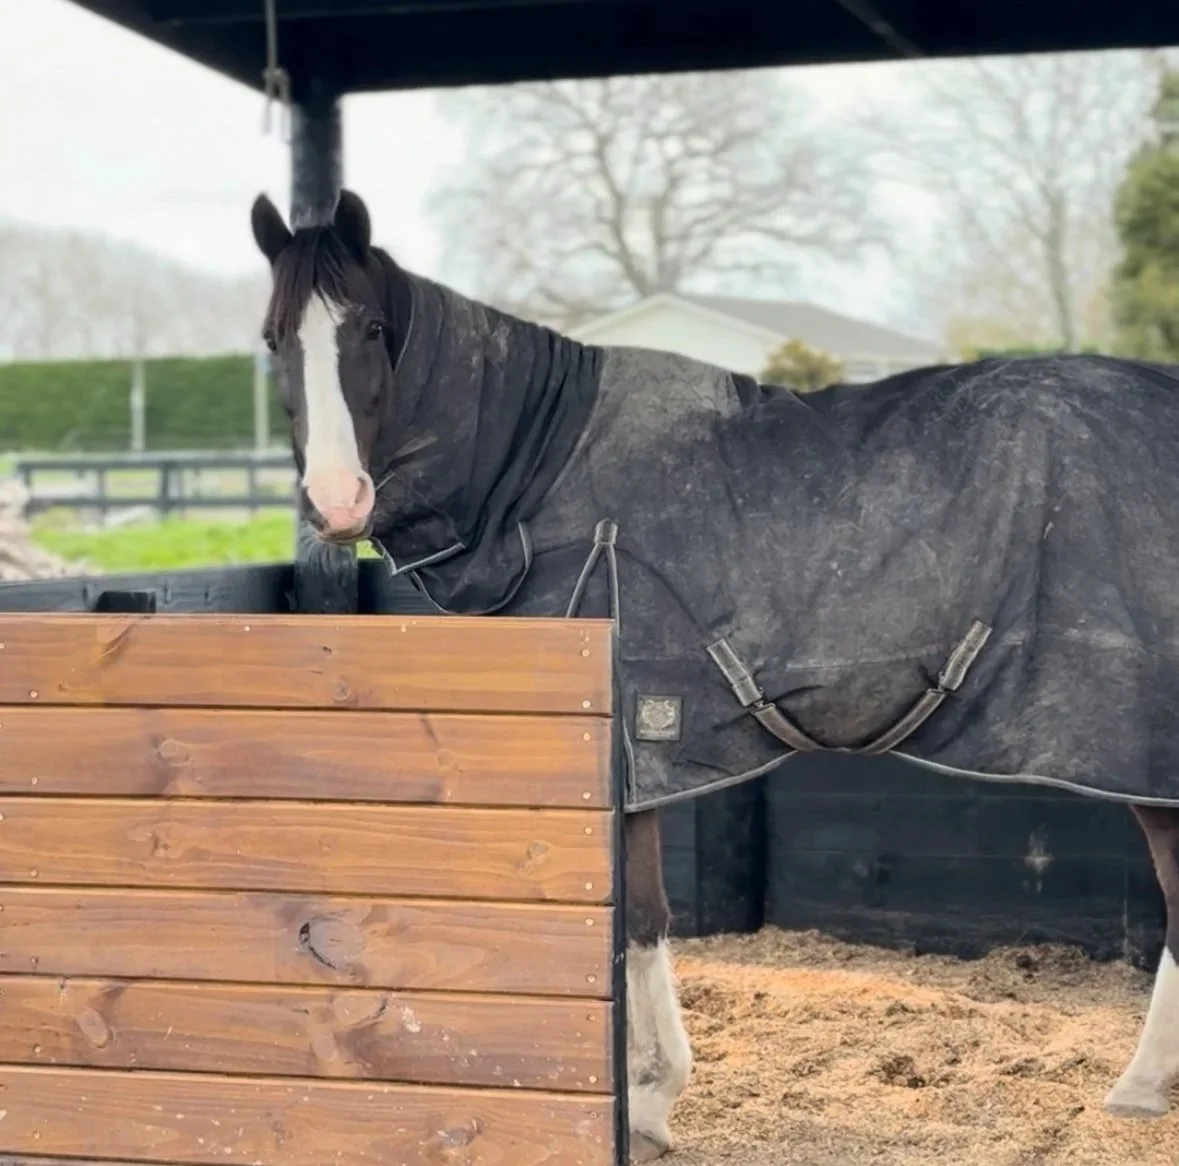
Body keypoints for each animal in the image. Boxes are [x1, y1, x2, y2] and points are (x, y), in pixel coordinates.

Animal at [251, 187, 1179, 1159]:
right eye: (274, 339)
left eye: (372, 327)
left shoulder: (629, 748)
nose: (337, 503)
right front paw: (655, 1097)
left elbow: (635, 920)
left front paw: (644, 1099)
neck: (546, 471)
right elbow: (645, 918)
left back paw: (1138, 1088)